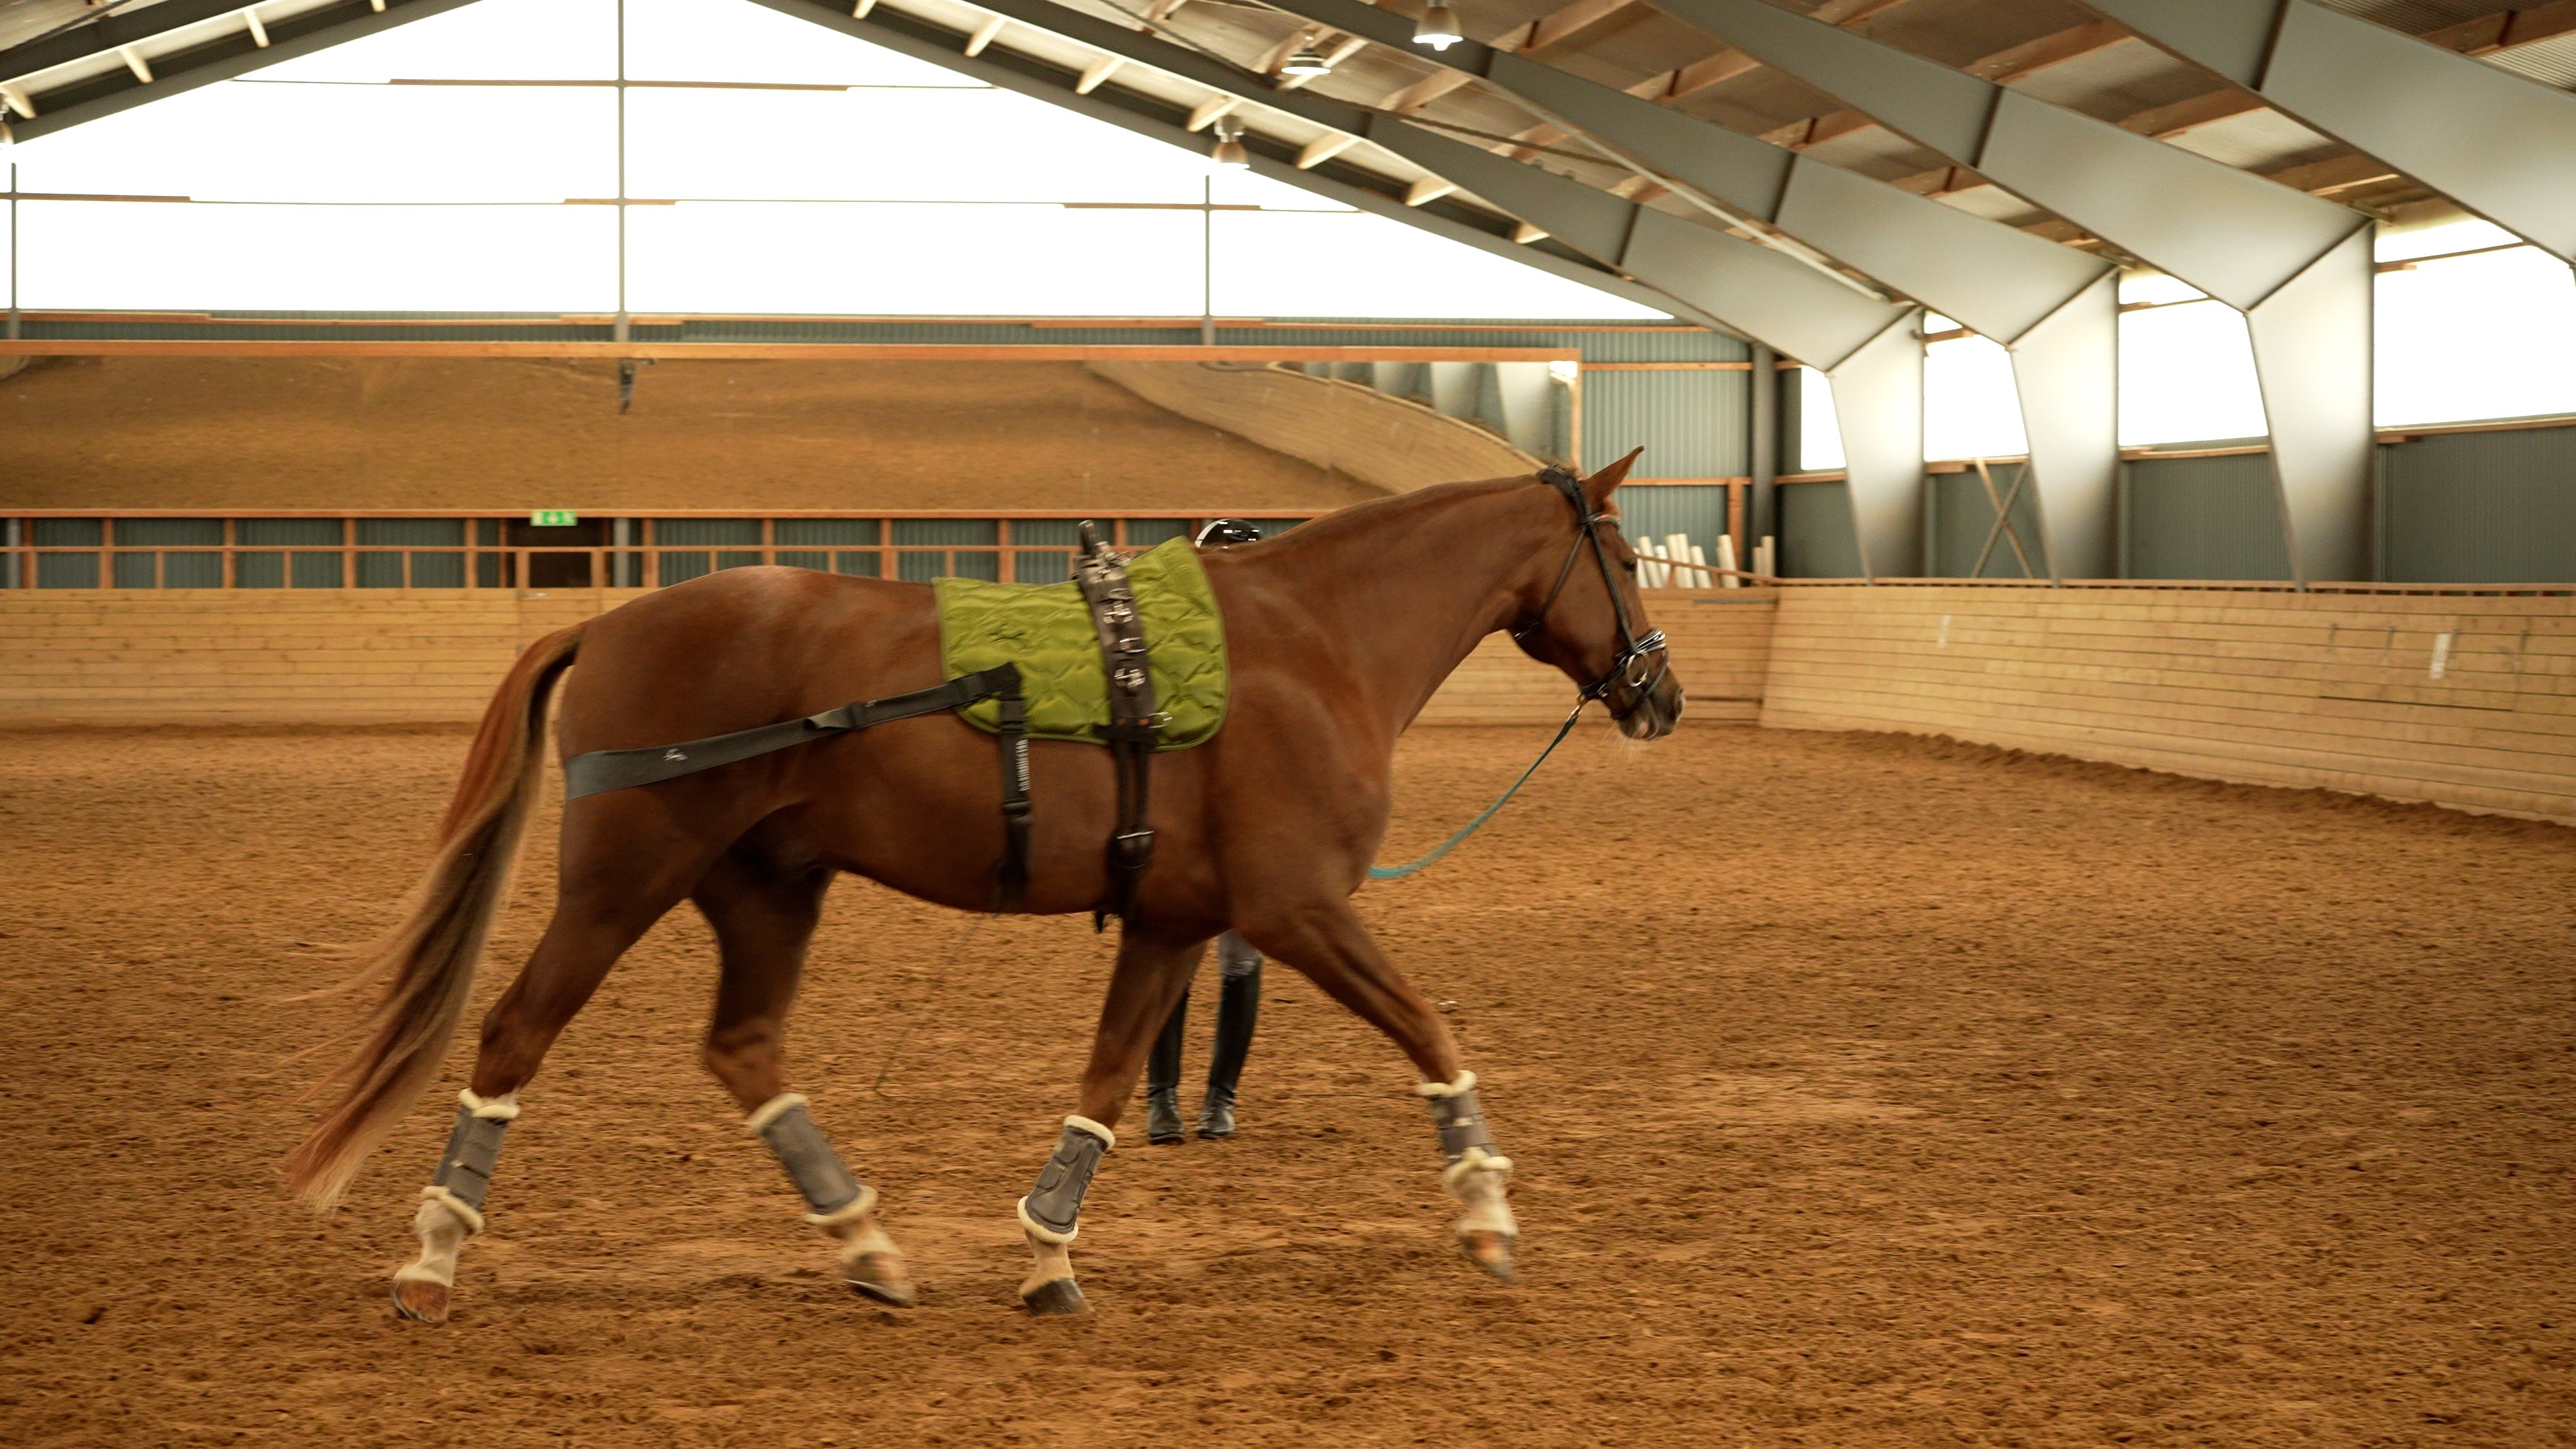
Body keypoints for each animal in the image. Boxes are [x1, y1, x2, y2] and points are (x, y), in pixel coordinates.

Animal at [285, 453, 1683, 1319]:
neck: (1312, 641)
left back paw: (868, 1244)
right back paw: (433, 1259)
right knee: (516, 1032)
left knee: (744, 1049)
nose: (1660, 693)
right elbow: (1433, 1030)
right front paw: (1486, 1211)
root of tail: (612, 620)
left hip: (767, 889)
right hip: (622, 884)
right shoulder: (1299, 911)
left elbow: (1109, 1085)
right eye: (1622, 555)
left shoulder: (1178, 921)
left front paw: (1048, 1254)